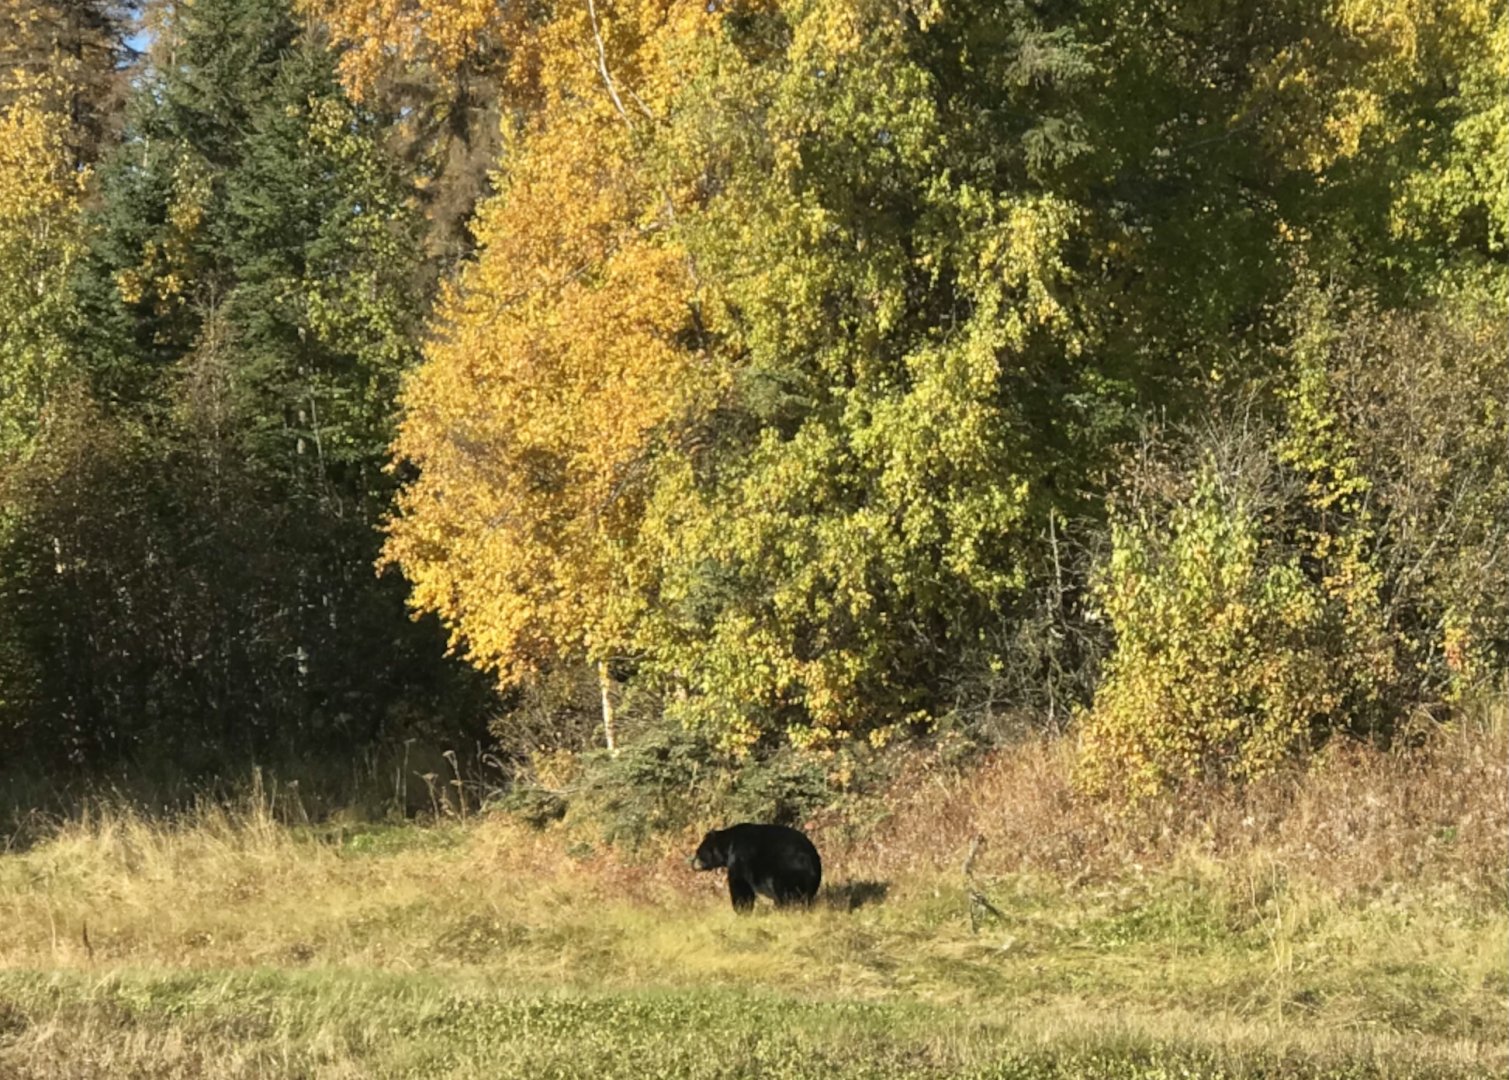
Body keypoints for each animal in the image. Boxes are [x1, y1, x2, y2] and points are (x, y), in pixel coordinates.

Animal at [689, 822, 822, 912]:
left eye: (698, 852)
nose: (693, 864)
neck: (728, 845)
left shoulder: (739, 856)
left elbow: (740, 884)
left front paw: (741, 910)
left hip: (788, 872)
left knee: (785, 892)